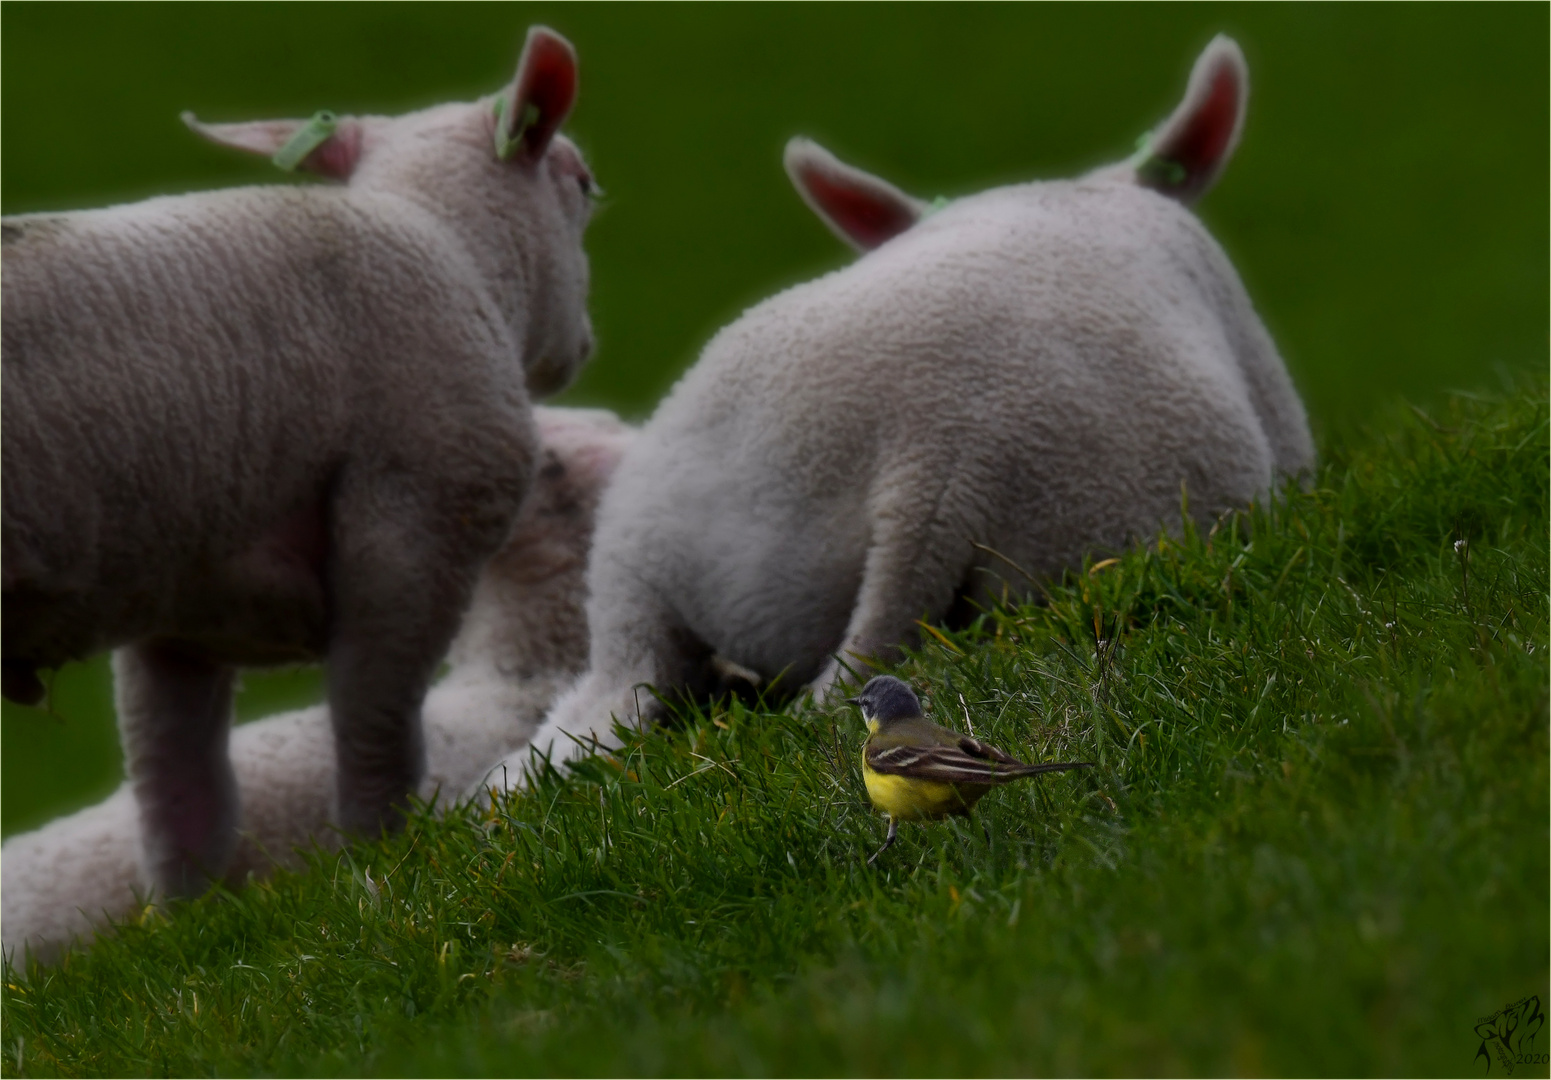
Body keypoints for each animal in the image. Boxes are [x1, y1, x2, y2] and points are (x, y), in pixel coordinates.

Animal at [1, 27, 598, 900]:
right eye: (584, 185)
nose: (585, 345)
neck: (448, 244)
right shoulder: (411, 533)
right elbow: (378, 740)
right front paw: (387, 868)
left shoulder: (179, 607)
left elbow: (179, 798)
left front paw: (195, 918)